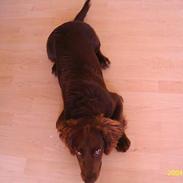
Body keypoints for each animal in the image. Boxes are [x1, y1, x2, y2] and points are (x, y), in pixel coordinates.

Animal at [46, 0, 131, 182]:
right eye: (78, 152)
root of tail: (72, 22)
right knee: (53, 58)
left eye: (98, 150)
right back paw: (55, 67)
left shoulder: (116, 99)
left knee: (98, 49)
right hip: (49, 49)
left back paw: (103, 60)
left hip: (95, 38)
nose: (89, 179)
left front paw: (122, 141)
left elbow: (118, 119)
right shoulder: (61, 119)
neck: (86, 107)